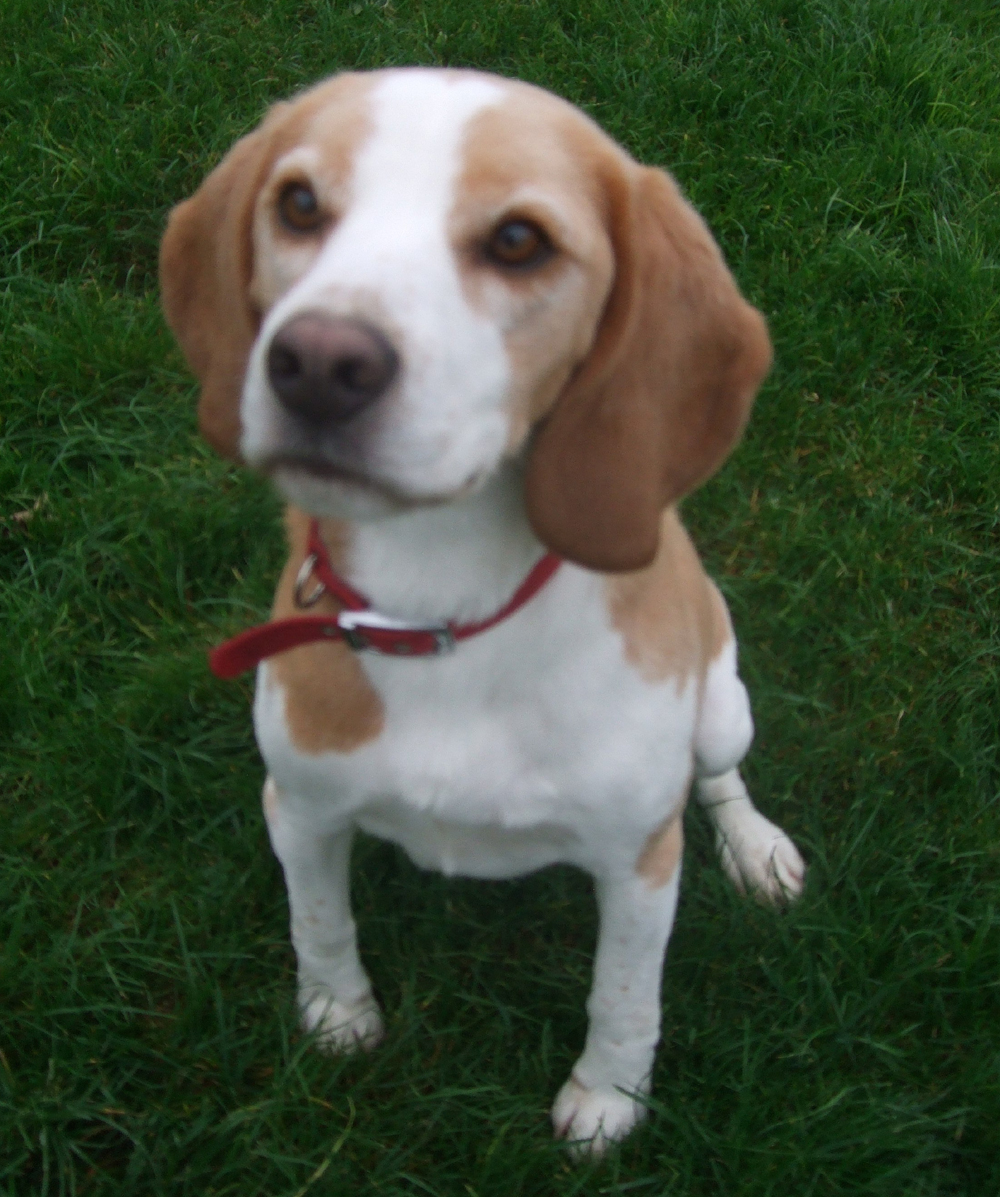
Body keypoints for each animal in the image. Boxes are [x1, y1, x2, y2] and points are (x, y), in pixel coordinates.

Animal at [160, 67, 809, 1158]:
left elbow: (623, 996)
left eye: (517, 241)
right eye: (299, 205)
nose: (318, 362)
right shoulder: (299, 806)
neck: (443, 606)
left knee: (719, 775)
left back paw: (757, 849)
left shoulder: (639, 864)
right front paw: (338, 1016)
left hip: (723, 704)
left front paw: (607, 1103)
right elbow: (319, 923)